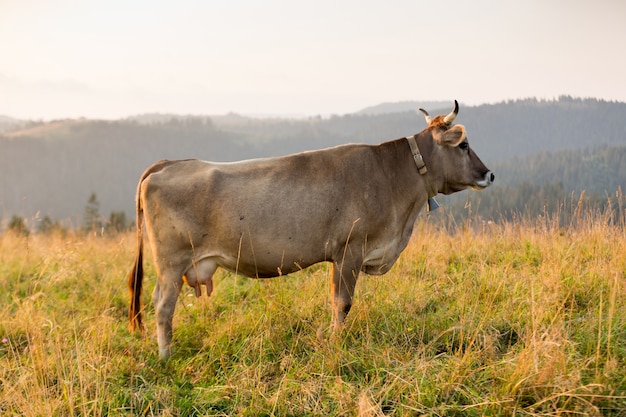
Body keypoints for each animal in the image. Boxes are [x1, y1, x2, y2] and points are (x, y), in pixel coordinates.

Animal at [129, 101, 494, 358]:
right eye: (463, 145)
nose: (489, 174)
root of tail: (168, 163)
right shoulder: (350, 249)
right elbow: (342, 302)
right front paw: (336, 342)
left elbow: (336, 301)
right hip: (171, 263)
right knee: (163, 305)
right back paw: (166, 355)